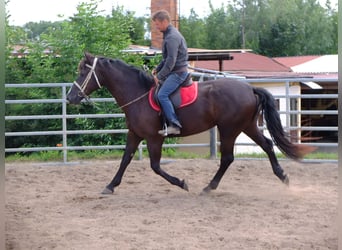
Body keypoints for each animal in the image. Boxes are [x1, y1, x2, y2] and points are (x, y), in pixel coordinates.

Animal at [66, 51, 312, 194]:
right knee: (268, 145)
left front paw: (182, 183)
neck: (139, 94)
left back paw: (209, 187)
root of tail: (249, 88)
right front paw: (110, 185)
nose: (70, 97)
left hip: (229, 129)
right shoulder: (135, 134)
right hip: (247, 126)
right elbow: (125, 159)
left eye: (83, 72)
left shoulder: (154, 138)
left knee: (228, 158)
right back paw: (283, 177)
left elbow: (155, 166)